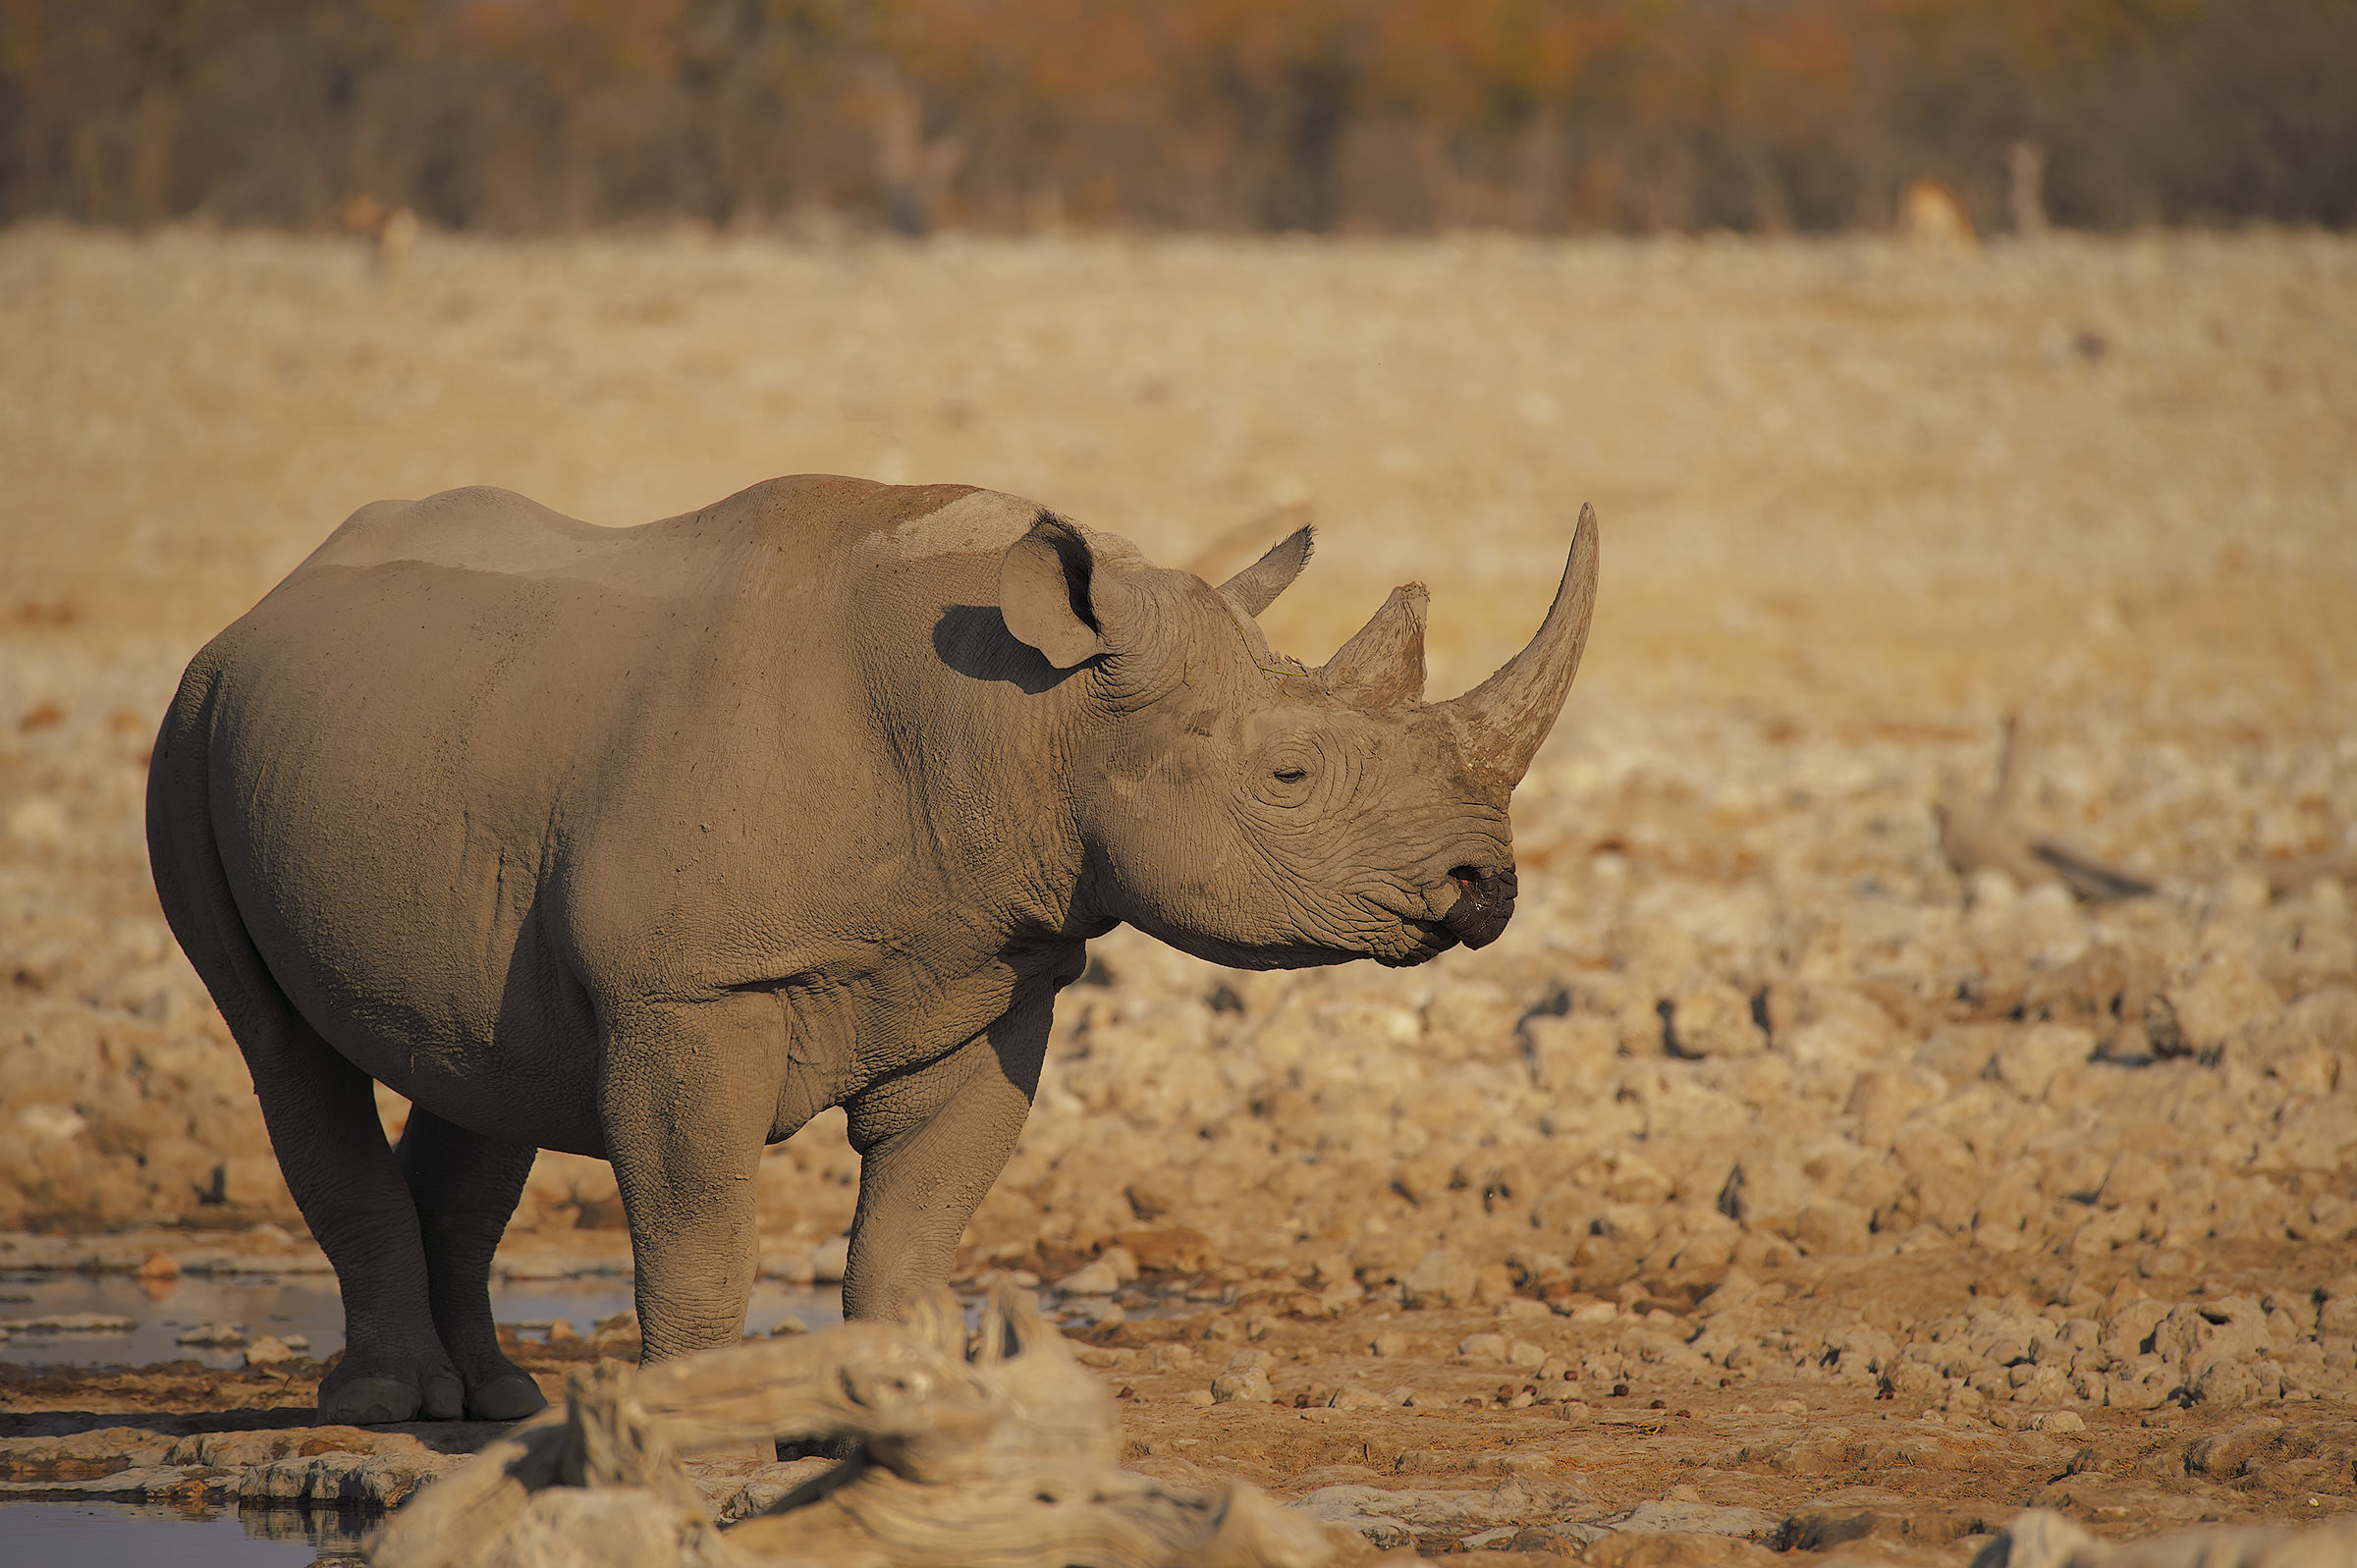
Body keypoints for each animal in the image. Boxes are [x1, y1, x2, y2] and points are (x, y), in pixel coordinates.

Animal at [146, 476, 1597, 1425]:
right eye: (1289, 776)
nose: (1485, 887)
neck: (1032, 716)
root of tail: (268, 600)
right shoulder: (690, 991)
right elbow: (698, 1225)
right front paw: (692, 1424)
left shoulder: (993, 971)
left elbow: (916, 1220)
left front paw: (910, 1408)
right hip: (195, 722)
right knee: (282, 1051)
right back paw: (395, 1409)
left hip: (406, 752)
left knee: (476, 1066)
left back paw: (492, 1405)